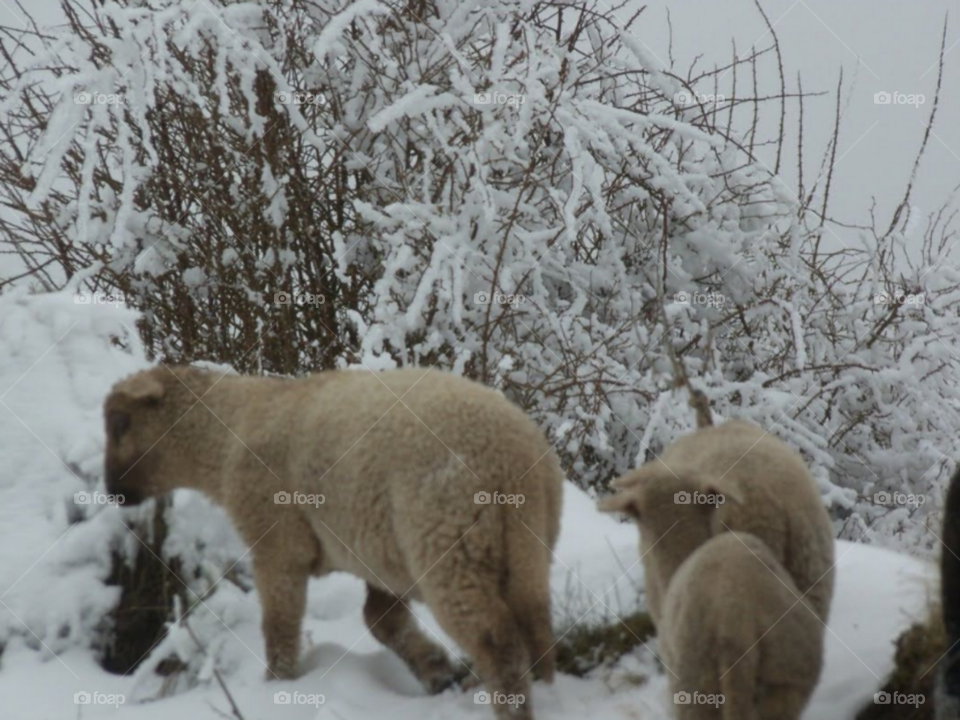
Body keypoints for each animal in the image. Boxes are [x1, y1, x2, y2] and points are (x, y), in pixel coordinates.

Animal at [103, 365, 563, 720]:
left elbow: (280, 625)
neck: (228, 435)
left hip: (448, 541)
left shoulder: (277, 542)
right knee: (535, 626)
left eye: (121, 424)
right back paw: (544, 686)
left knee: (499, 644)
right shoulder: (379, 553)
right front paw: (437, 671)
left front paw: (276, 687)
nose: (112, 491)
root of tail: (513, 460)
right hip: (527, 545)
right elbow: (381, 620)